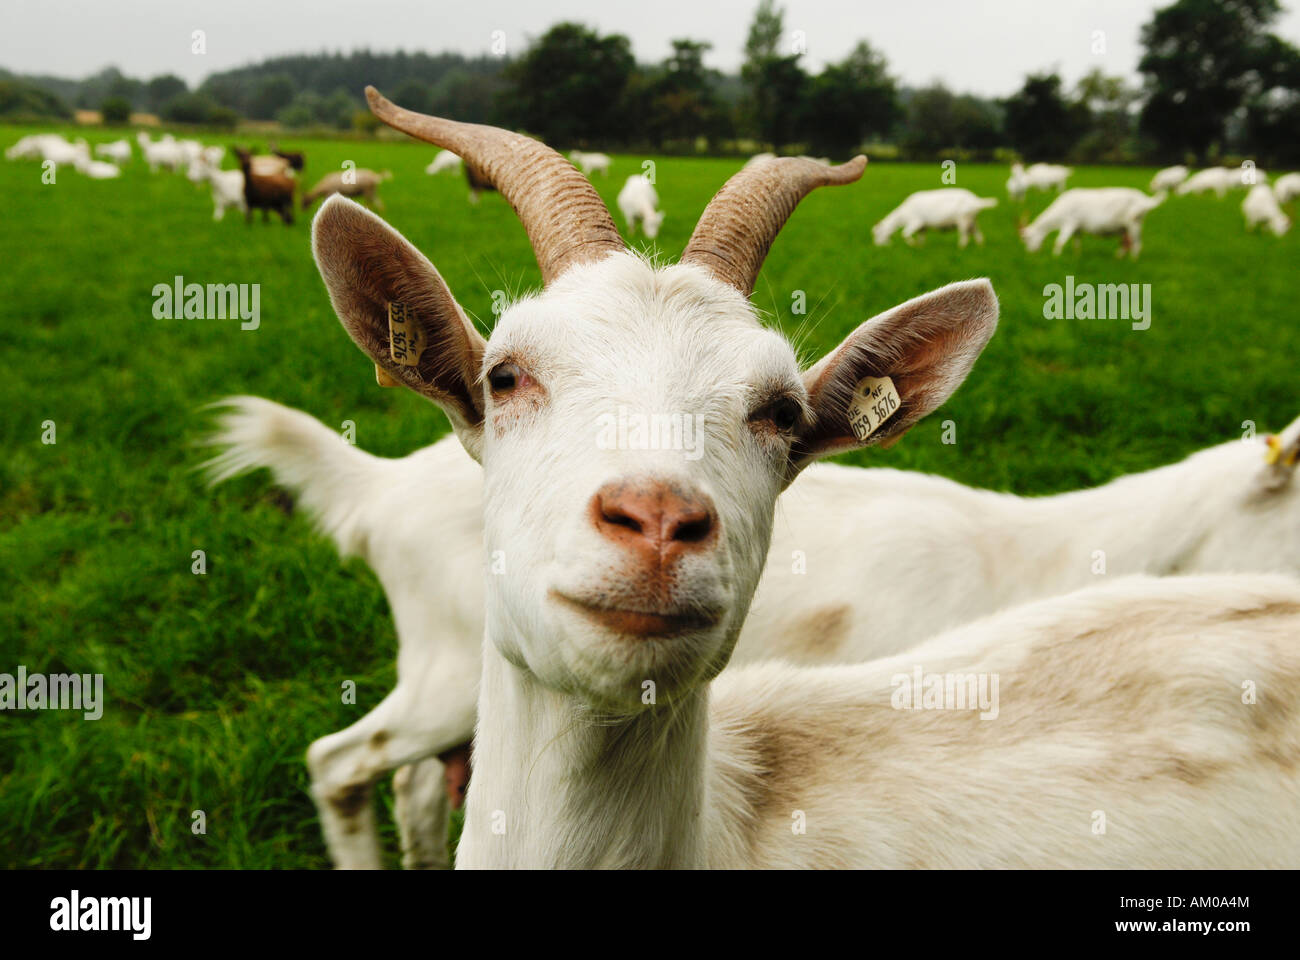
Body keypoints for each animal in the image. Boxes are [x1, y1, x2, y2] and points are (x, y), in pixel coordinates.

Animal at [868, 187, 998, 247]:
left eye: (878, 233)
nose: (877, 246)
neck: (903, 214)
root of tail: (976, 200)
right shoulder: (922, 227)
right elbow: (921, 238)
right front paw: (920, 246)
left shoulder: (915, 222)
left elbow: (905, 234)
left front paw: (912, 244)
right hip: (972, 220)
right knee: (977, 233)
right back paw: (980, 245)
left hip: (963, 219)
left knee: (964, 235)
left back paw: (961, 247)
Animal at [1019, 187, 1164, 257]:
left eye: (1026, 238)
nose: (1031, 253)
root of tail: (1144, 200)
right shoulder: (1077, 228)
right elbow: (1077, 244)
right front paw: (1077, 257)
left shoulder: (1069, 223)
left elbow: (1059, 241)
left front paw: (1056, 256)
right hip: (1126, 227)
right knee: (1125, 243)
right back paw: (1118, 258)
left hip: (1135, 223)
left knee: (1136, 244)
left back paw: (1133, 261)